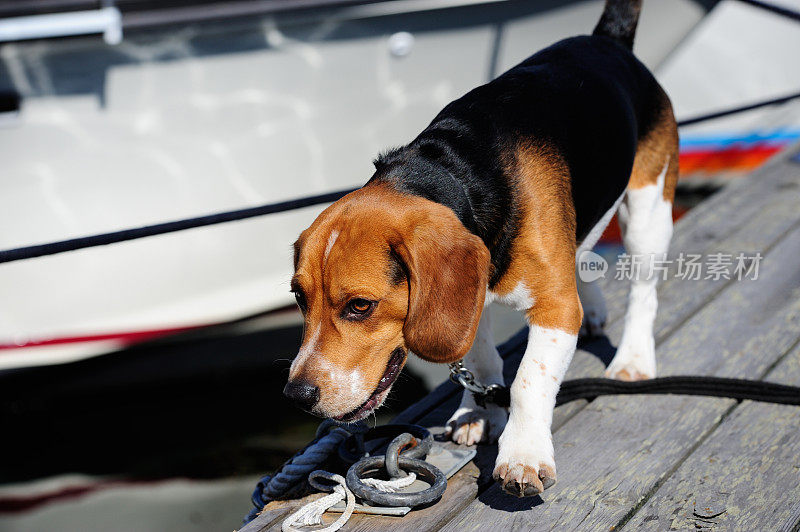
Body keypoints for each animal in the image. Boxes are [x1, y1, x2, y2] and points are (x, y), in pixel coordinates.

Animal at [286, 0, 676, 498]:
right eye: (299, 297)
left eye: (360, 305)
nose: (296, 395)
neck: (455, 174)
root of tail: (606, 40)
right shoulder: (474, 295)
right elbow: (479, 355)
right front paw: (480, 409)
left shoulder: (555, 308)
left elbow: (528, 379)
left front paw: (523, 454)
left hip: (648, 209)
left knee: (644, 291)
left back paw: (632, 360)